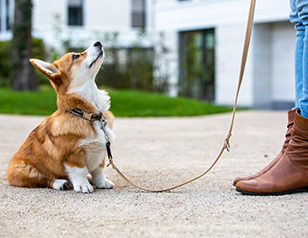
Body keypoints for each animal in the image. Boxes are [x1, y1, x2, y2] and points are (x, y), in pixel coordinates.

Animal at [6, 41, 115, 193]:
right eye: (75, 56)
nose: (98, 42)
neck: (86, 114)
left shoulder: (101, 152)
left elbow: (98, 170)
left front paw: (101, 181)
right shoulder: (73, 154)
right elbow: (80, 170)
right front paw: (82, 184)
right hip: (24, 169)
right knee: (43, 179)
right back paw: (61, 183)